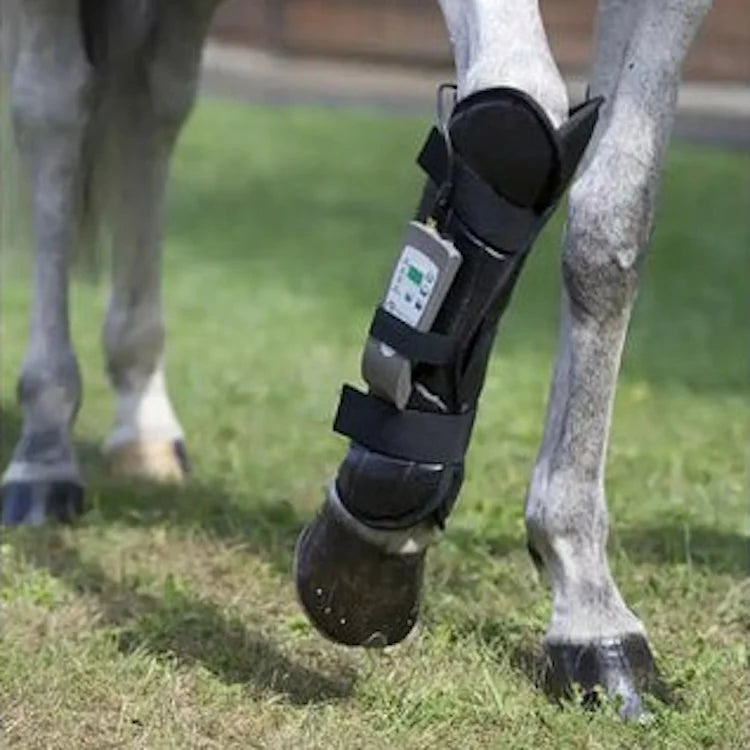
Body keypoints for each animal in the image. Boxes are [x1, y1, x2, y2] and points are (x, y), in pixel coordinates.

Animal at [0, 0, 713, 719]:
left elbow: (612, 223)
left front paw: (589, 611)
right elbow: (521, 95)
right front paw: (374, 534)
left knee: (156, 100)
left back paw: (143, 424)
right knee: (53, 106)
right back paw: (44, 448)